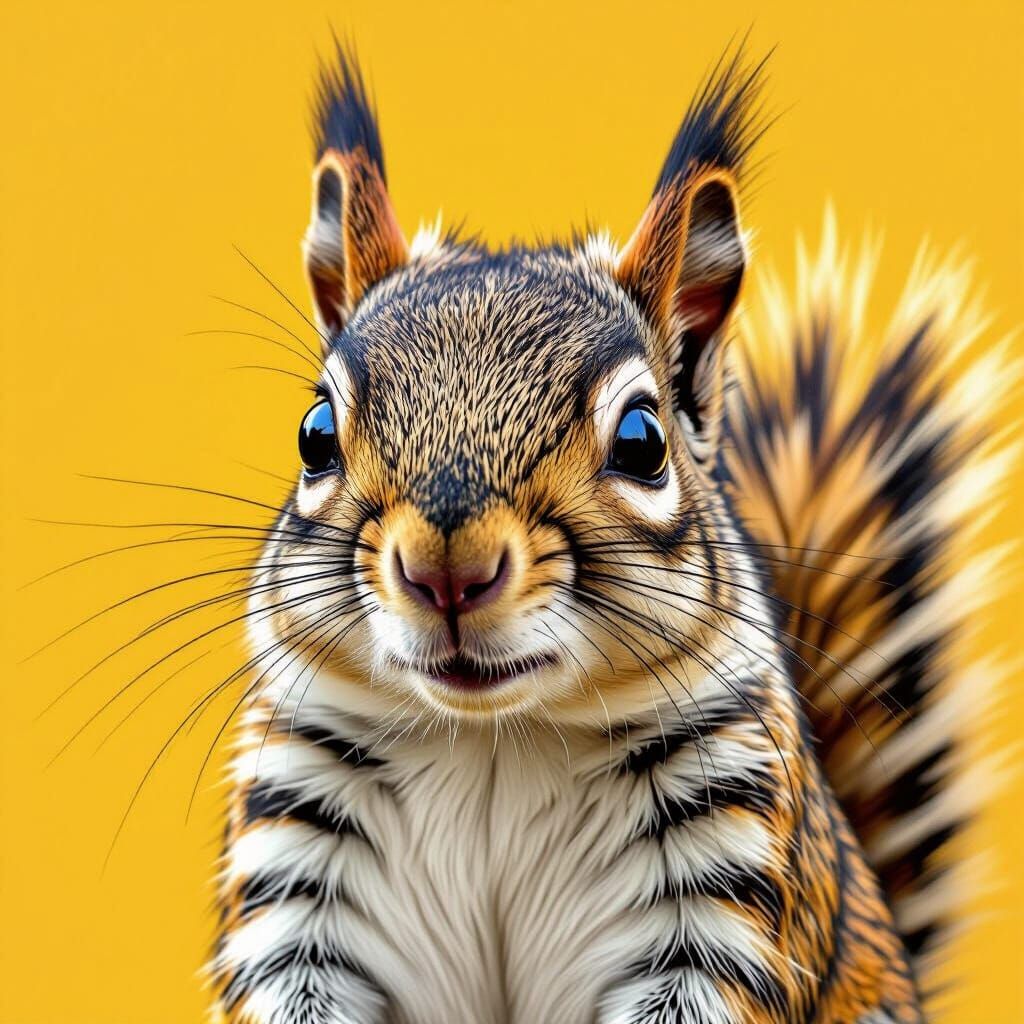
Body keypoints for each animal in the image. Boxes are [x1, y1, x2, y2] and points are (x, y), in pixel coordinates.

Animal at [209, 44, 1014, 1024]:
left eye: (643, 442)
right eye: (314, 434)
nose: (447, 573)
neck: (497, 743)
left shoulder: (718, 893)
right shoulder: (299, 883)